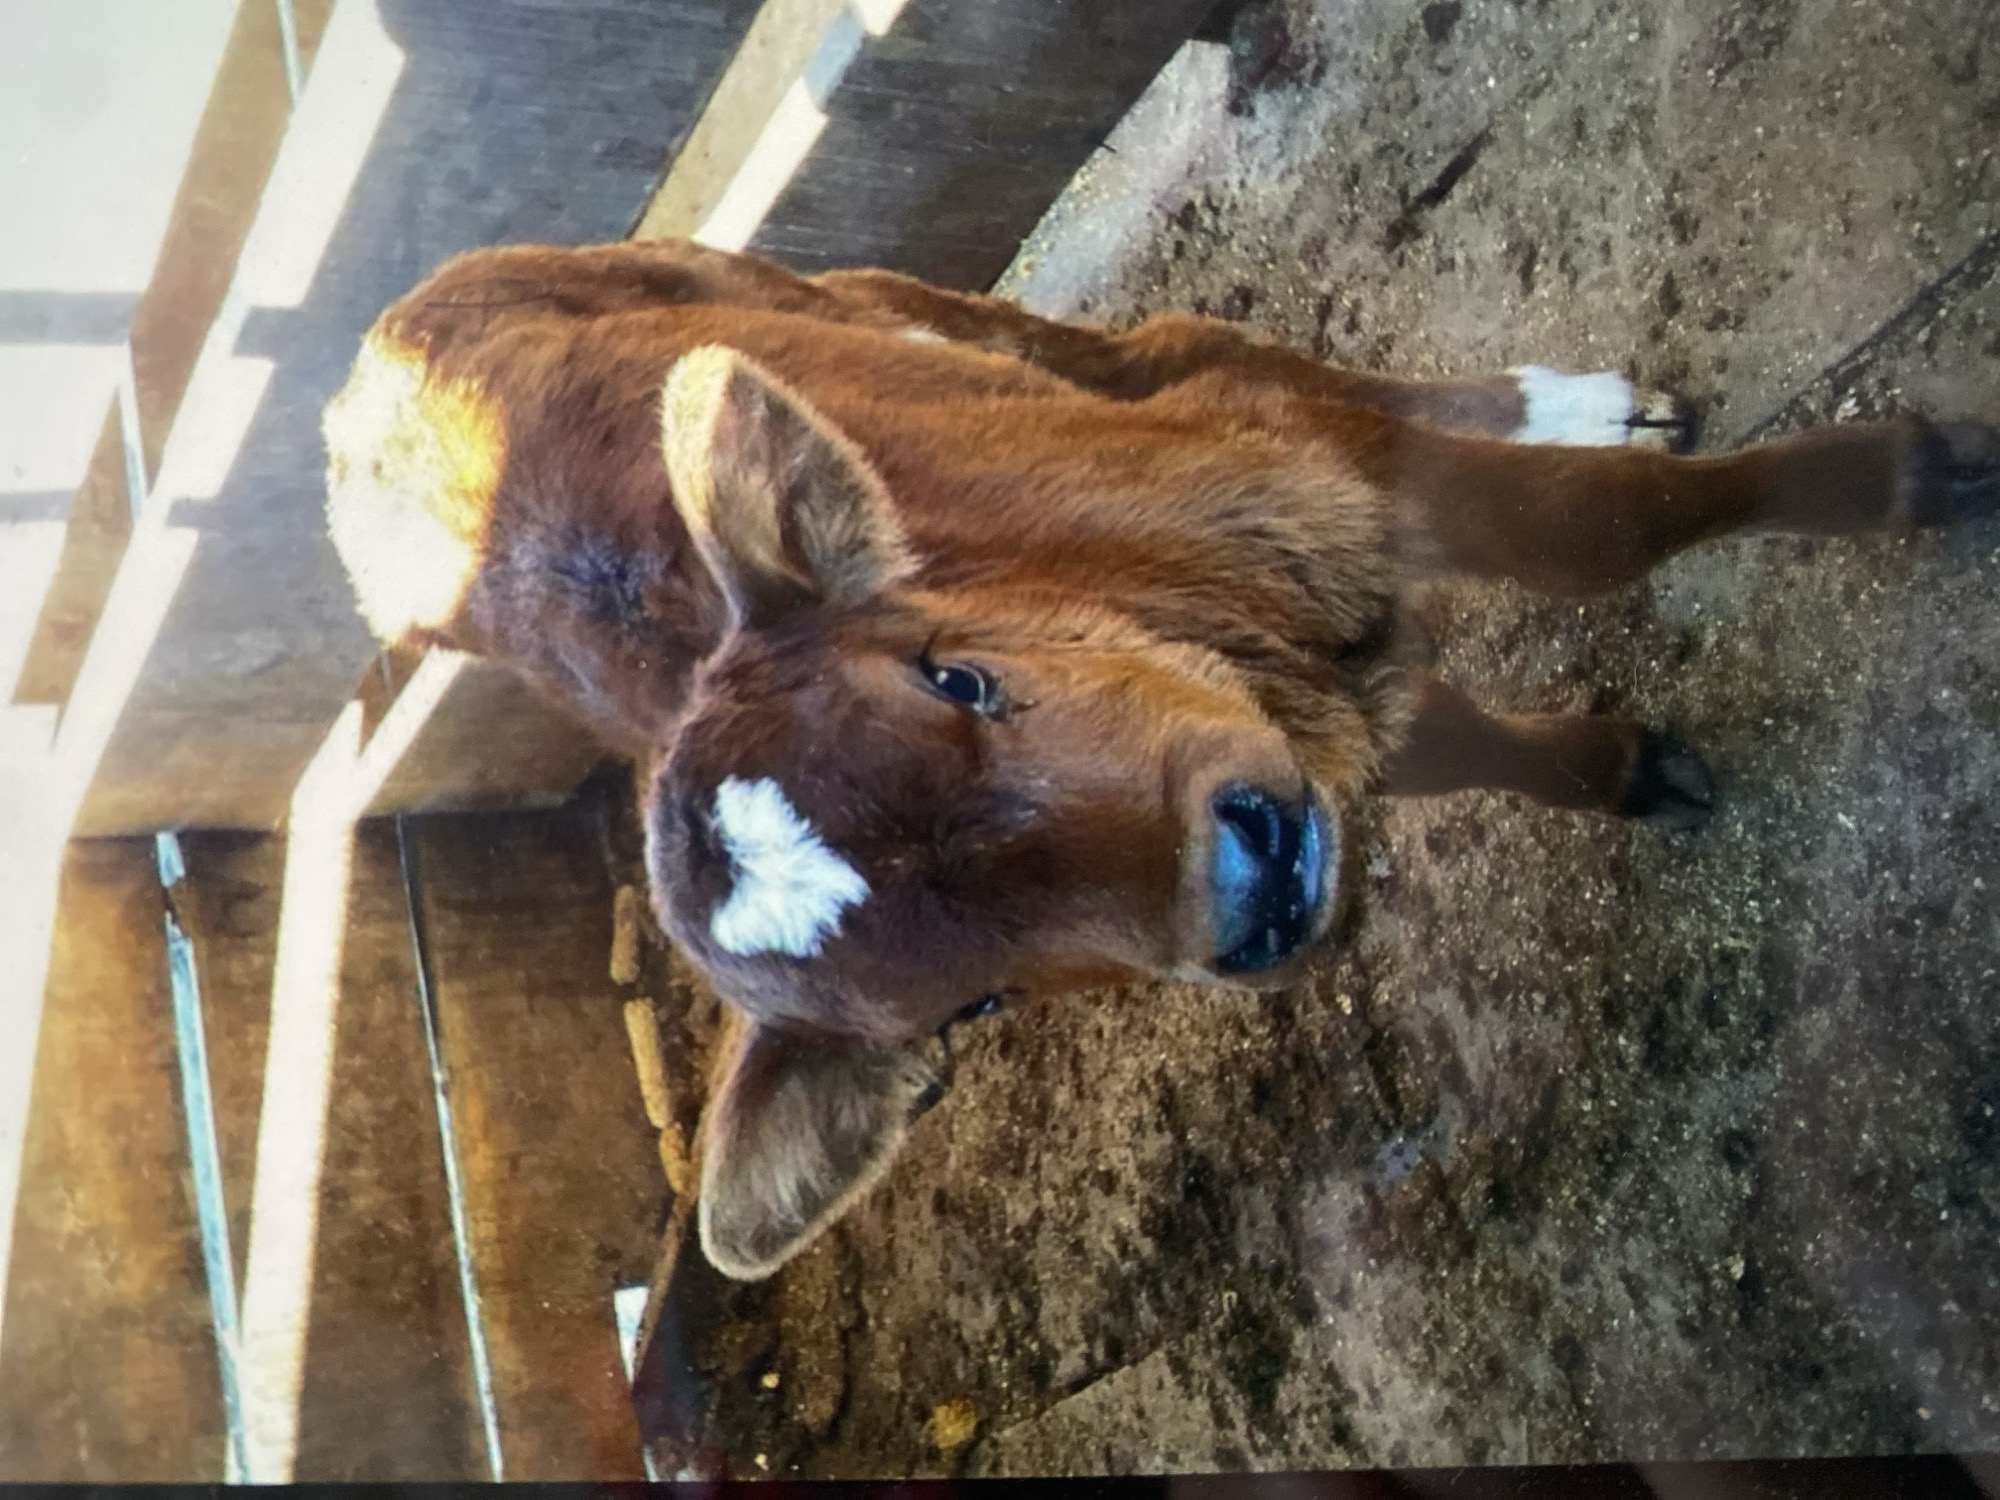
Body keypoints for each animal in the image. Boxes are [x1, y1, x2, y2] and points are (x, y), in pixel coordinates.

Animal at [323, 238, 1998, 1282]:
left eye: (961, 673)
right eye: (974, 1004)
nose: (1253, 880)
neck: (1065, 567)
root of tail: (355, 397)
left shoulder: (1305, 491)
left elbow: (1603, 533)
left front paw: (1916, 473)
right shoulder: (1277, 680)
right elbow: (1439, 736)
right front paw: (1627, 770)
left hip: (859, 299)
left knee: (1173, 347)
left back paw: (1586, 404)